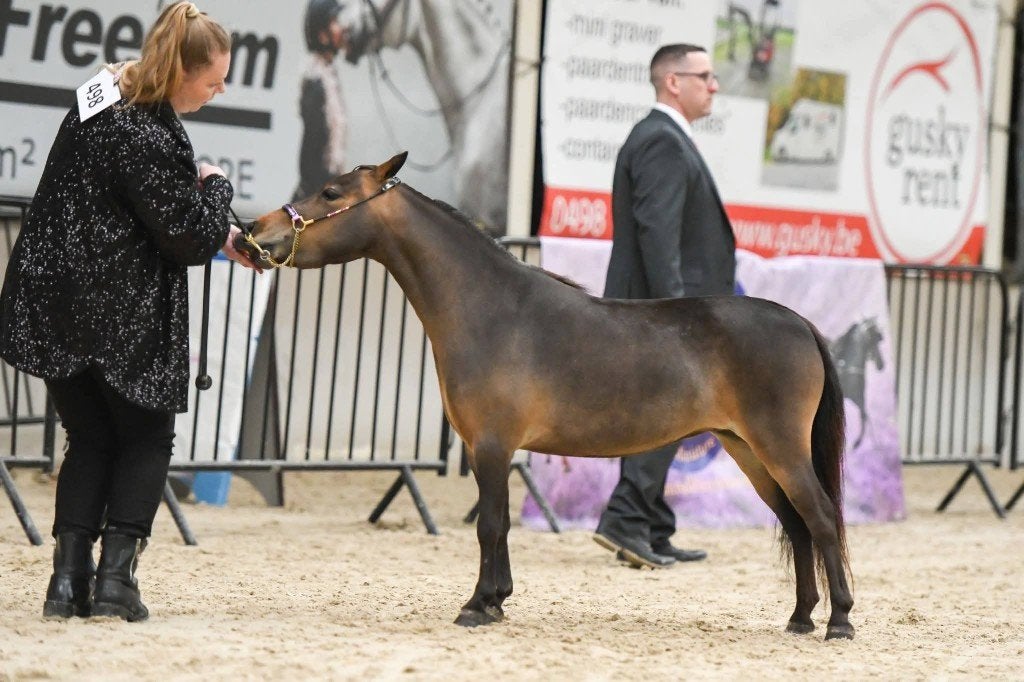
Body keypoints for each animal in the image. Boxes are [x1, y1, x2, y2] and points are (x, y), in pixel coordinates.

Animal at [234, 153, 855, 641]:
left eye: (331, 192)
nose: (253, 231)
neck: (490, 307)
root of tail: (798, 323)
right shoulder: (490, 449)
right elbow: (500, 523)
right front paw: (495, 601)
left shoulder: (492, 446)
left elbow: (489, 524)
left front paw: (477, 605)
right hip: (748, 451)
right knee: (798, 524)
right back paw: (800, 617)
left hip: (779, 448)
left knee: (821, 517)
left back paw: (838, 621)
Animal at [829, 318, 884, 449]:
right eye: (872, 337)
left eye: (879, 338)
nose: (881, 364)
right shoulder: (857, 397)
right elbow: (864, 415)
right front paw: (857, 443)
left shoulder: (858, 397)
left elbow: (865, 415)